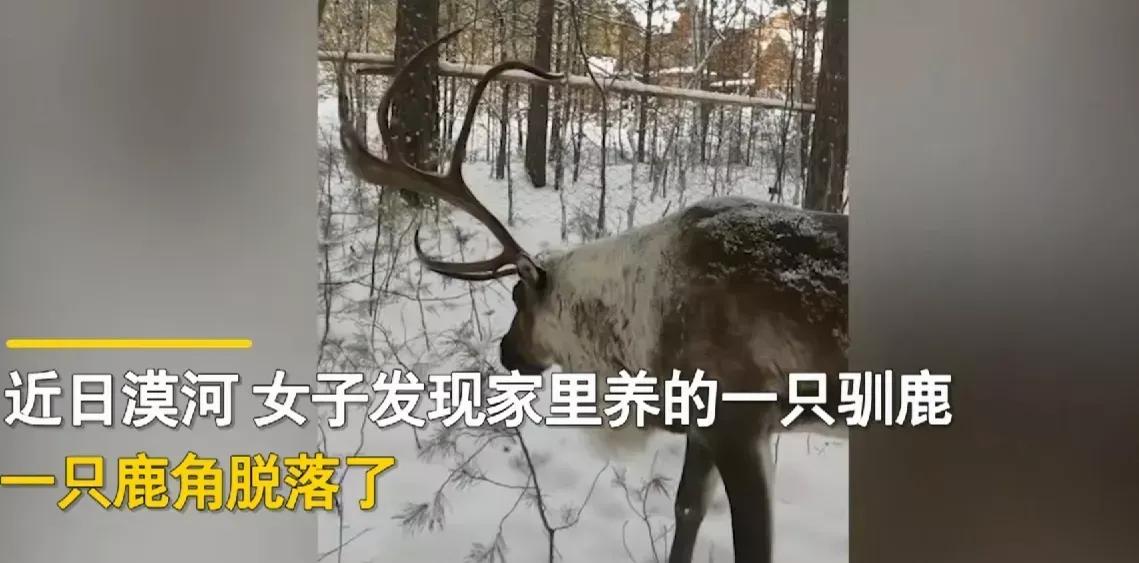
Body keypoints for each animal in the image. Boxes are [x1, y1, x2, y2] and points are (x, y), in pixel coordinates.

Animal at [334, 29, 849, 563]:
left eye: (517, 296)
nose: (506, 353)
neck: (638, 329)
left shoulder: (741, 421)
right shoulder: (703, 426)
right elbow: (687, 508)